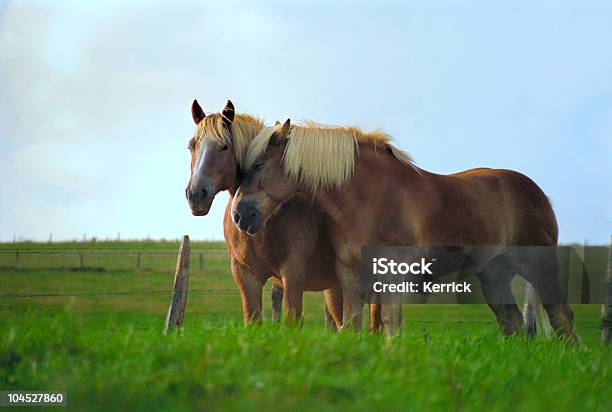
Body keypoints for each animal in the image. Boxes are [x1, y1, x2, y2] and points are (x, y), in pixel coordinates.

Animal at [186, 100, 364, 328]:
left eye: (224, 146)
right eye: (192, 145)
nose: (196, 194)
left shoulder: (293, 272)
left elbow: (291, 319)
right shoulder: (246, 276)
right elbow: (252, 319)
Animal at [232, 117, 576, 340]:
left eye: (259, 165)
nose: (240, 214)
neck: (369, 196)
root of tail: (536, 191)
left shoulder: (392, 271)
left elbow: (389, 320)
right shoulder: (349, 271)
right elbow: (352, 320)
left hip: (538, 265)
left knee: (561, 316)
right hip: (494, 274)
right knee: (512, 322)